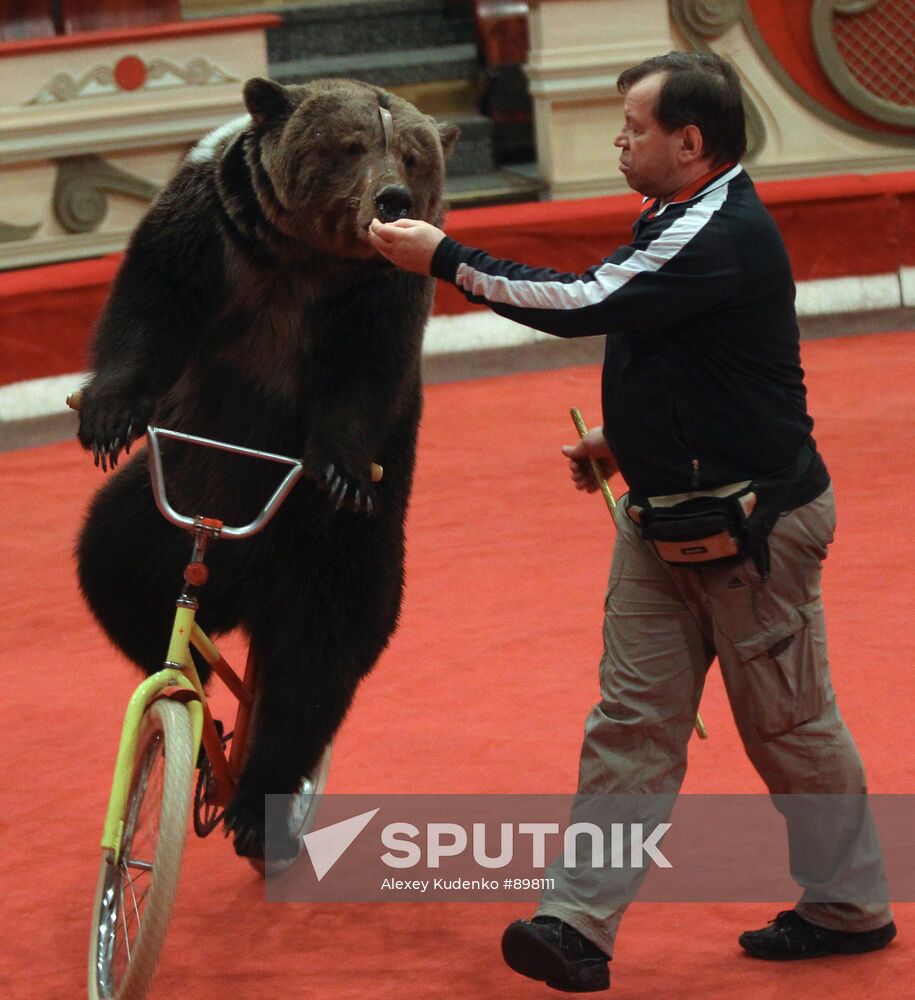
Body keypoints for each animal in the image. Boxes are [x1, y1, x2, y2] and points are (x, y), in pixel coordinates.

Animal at [73, 78, 458, 860]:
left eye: (410, 152)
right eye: (350, 145)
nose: (392, 197)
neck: (307, 259)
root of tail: (245, 587)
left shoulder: (379, 296)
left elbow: (362, 377)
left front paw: (340, 467)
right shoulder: (210, 231)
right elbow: (150, 306)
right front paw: (108, 412)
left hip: (333, 543)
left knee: (320, 648)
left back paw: (258, 803)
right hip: (180, 491)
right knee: (115, 565)